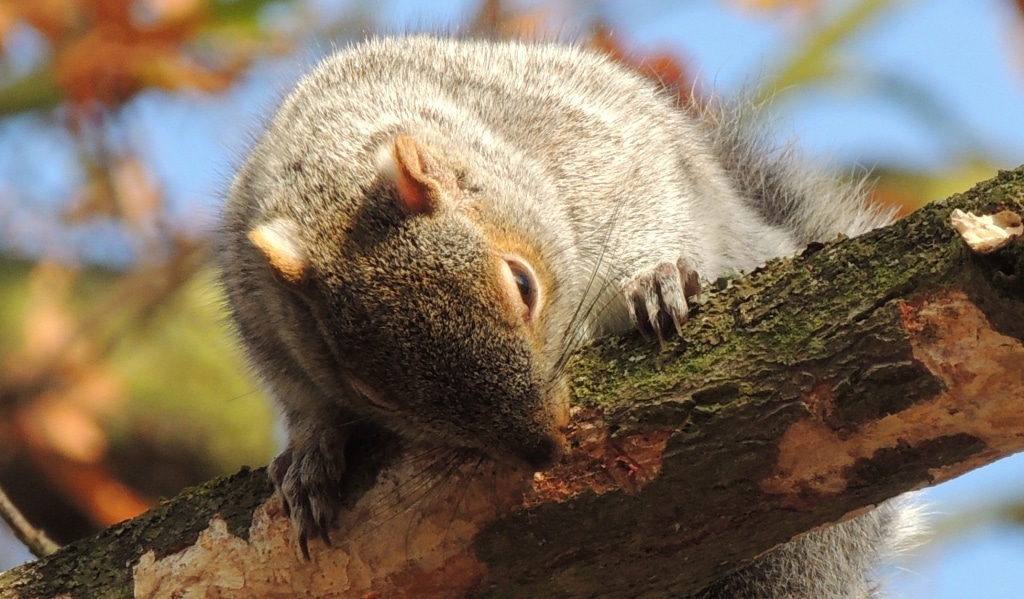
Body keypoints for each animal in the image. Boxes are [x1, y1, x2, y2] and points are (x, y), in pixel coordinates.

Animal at [220, 35, 917, 593]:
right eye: (372, 393)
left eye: (523, 284)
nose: (546, 448)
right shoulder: (257, 310)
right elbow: (302, 399)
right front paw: (311, 456)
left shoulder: (599, 151)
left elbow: (648, 211)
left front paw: (657, 278)